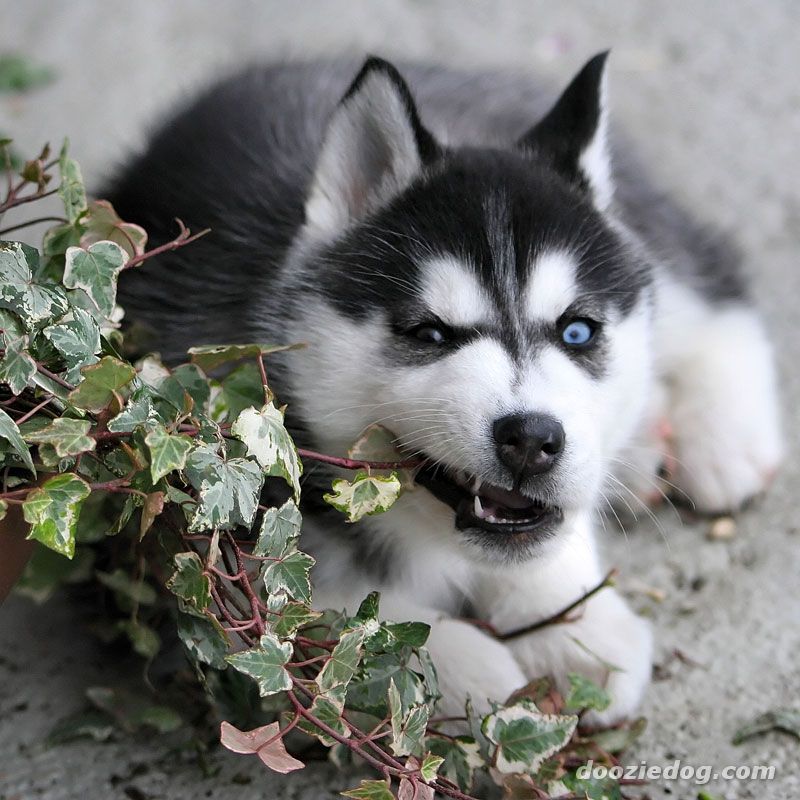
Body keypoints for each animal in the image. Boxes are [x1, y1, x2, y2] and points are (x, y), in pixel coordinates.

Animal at [111, 53, 780, 720]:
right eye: (430, 333)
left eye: (578, 331)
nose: (532, 439)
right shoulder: (195, 524)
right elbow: (325, 612)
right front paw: (455, 670)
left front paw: (574, 622)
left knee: (708, 282)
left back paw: (725, 441)